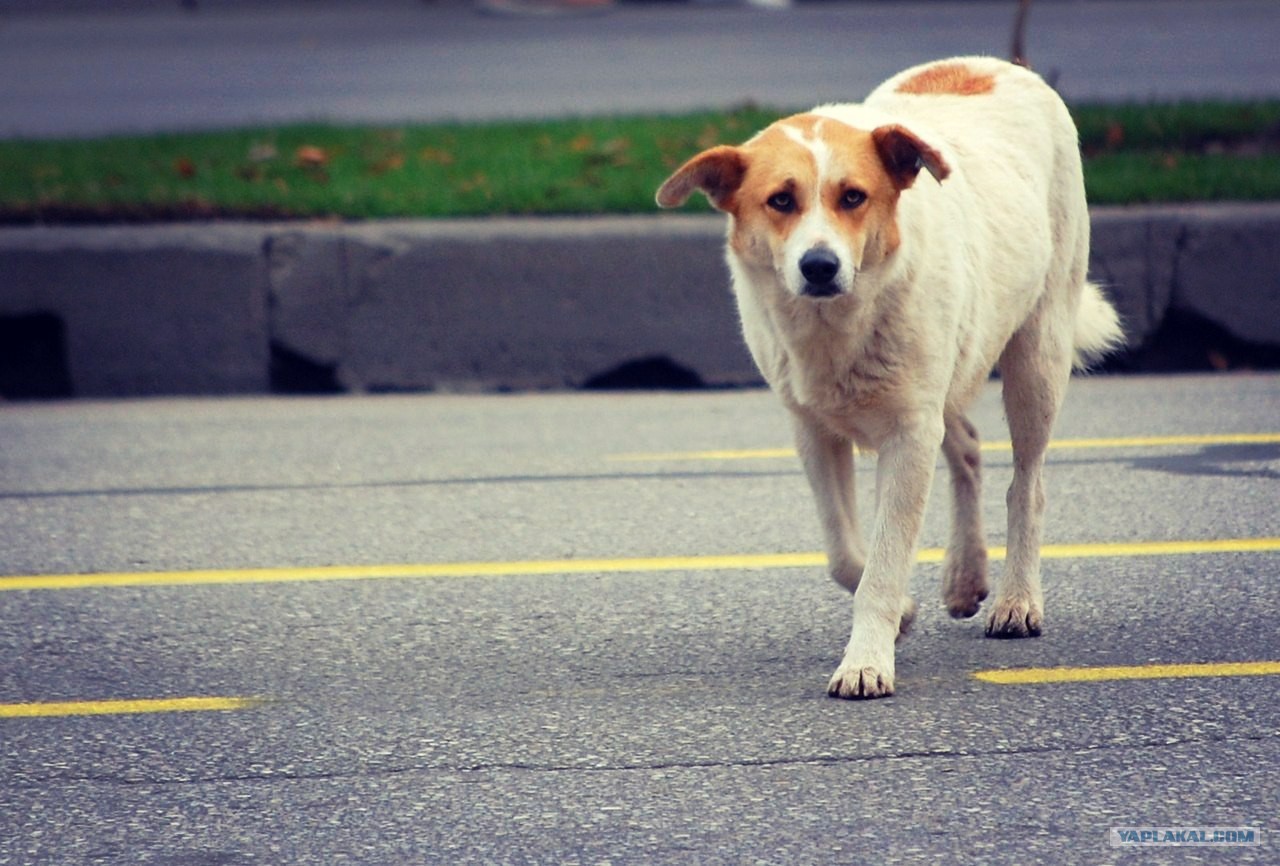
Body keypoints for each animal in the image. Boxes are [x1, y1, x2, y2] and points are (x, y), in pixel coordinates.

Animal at [660, 57, 1121, 695]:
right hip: (949, 376)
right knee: (967, 447)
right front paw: (902, 613)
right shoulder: (814, 432)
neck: (837, 327)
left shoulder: (907, 435)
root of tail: (992, 63)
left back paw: (1017, 601)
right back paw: (964, 577)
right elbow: (846, 556)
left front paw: (866, 661)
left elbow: (881, 562)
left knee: (1027, 484)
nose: (820, 266)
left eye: (853, 196)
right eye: (781, 200)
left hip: (1038, 355)